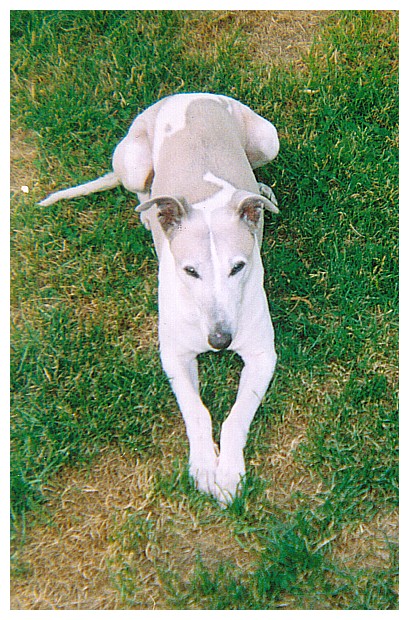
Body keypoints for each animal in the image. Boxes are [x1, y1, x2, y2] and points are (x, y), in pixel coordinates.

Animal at [38, 94, 278, 506]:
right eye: (190, 271)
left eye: (238, 267)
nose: (219, 342)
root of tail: (188, 95)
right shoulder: (175, 355)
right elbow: (196, 411)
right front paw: (204, 466)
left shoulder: (263, 354)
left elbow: (235, 417)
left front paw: (227, 471)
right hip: (135, 163)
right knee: (141, 192)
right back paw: (151, 215)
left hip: (267, 138)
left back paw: (260, 193)